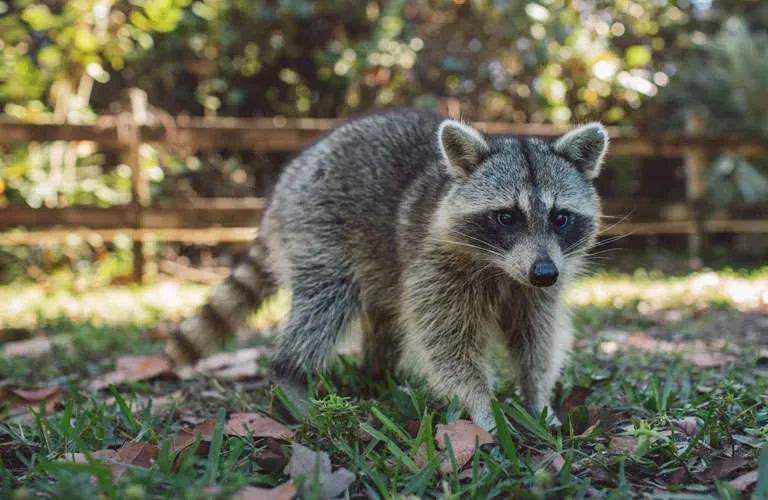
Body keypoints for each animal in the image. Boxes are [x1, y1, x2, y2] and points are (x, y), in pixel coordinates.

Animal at [165, 109, 608, 429]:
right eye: (506, 217)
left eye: (560, 218)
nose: (544, 273)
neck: (501, 268)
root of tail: (288, 177)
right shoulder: (435, 265)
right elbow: (446, 343)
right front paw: (481, 405)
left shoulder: (537, 284)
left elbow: (536, 338)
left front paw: (537, 398)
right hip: (318, 224)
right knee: (323, 304)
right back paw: (291, 374)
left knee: (384, 317)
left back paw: (377, 375)